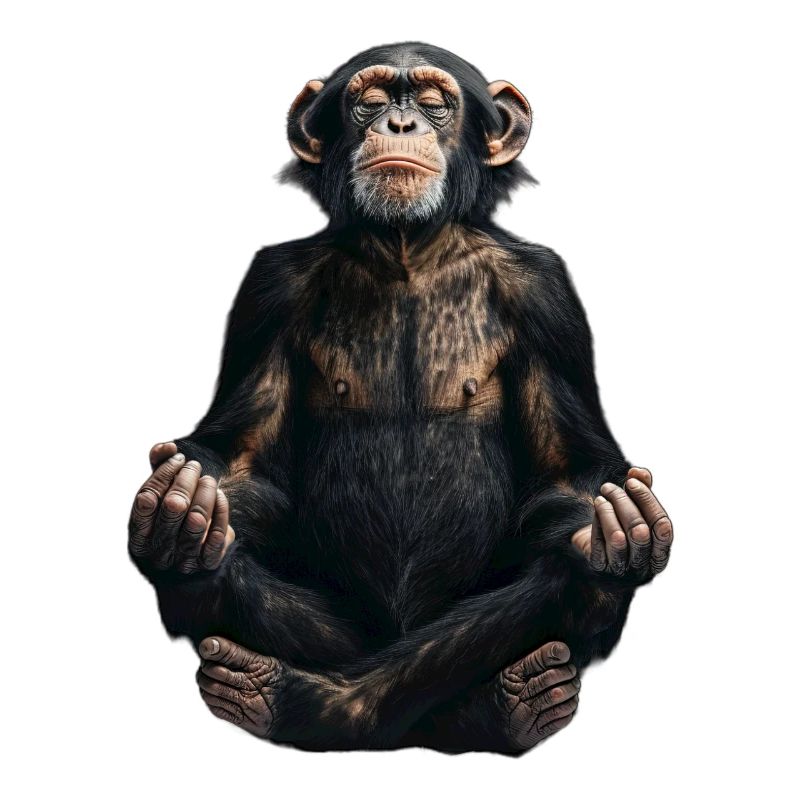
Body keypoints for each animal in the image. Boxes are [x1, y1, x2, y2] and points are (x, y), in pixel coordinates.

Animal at [128, 42, 673, 754]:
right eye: (372, 100)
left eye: (435, 102)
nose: (401, 123)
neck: (406, 250)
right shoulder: (269, 288)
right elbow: (240, 465)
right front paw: (182, 501)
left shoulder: (545, 294)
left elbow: (572, 480)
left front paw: (617, 531)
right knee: (218, 569)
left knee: (567, 579)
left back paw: (492, 700)